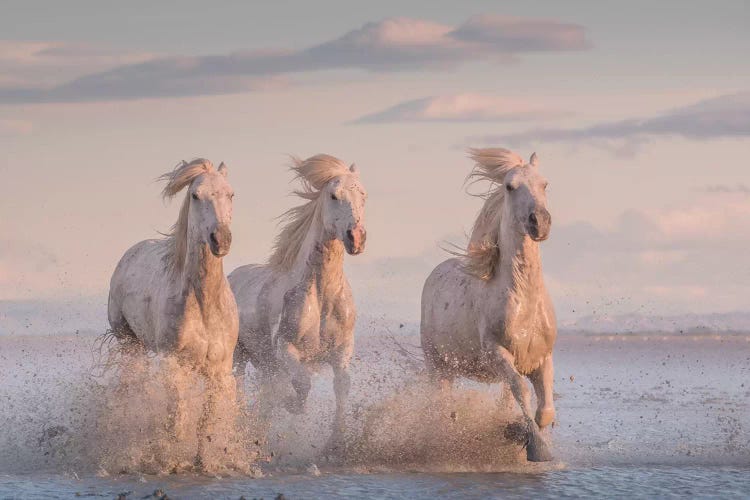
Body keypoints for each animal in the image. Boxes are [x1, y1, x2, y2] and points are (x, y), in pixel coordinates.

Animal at [107, 160, 238, 464]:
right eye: (195, 195)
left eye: (231, 194)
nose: (221, 240)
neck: (204, 305)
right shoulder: (173, 363)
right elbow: (176, 421)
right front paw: (169, 460)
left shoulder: (219, 371)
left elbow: (207, 424)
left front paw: (202, 462)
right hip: (130, 344)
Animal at [231, 154, 368, 452]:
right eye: (334, 195)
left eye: (363, 195)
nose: (356, 237)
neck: (322, 295)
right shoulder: (286, 348)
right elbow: (302, 383)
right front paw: (291, 404)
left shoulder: (342, 349)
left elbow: (342, 385)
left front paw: (336, 441)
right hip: (239, 355)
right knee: (237, 384)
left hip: (264, 361)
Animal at [424, 147, 560, 460]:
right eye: (510, 186)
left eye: (545, 184)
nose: (540, 222)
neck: (524, 304)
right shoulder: (497, 353)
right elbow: (521, 389)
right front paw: (535, 447)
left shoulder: (542, 357)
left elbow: (545, 409)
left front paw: (515, 433)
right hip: (438, 366)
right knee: (442, 405)